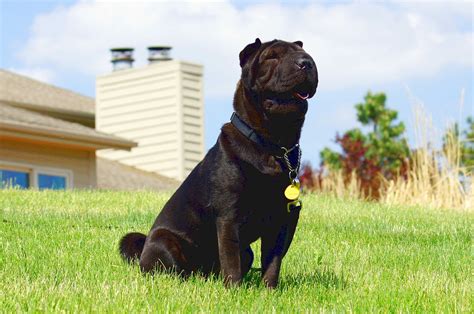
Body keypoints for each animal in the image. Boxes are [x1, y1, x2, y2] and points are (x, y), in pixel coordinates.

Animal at [119, 38, 318, 288]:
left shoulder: (280, 220)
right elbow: (231, 259)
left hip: (247, 251)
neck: (272, 145)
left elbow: (273, 261)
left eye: (305, 54)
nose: (306, 62)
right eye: (272, 56)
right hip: (164, 241)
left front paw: (269, 290)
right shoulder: (229, 217)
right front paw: (234, 290)